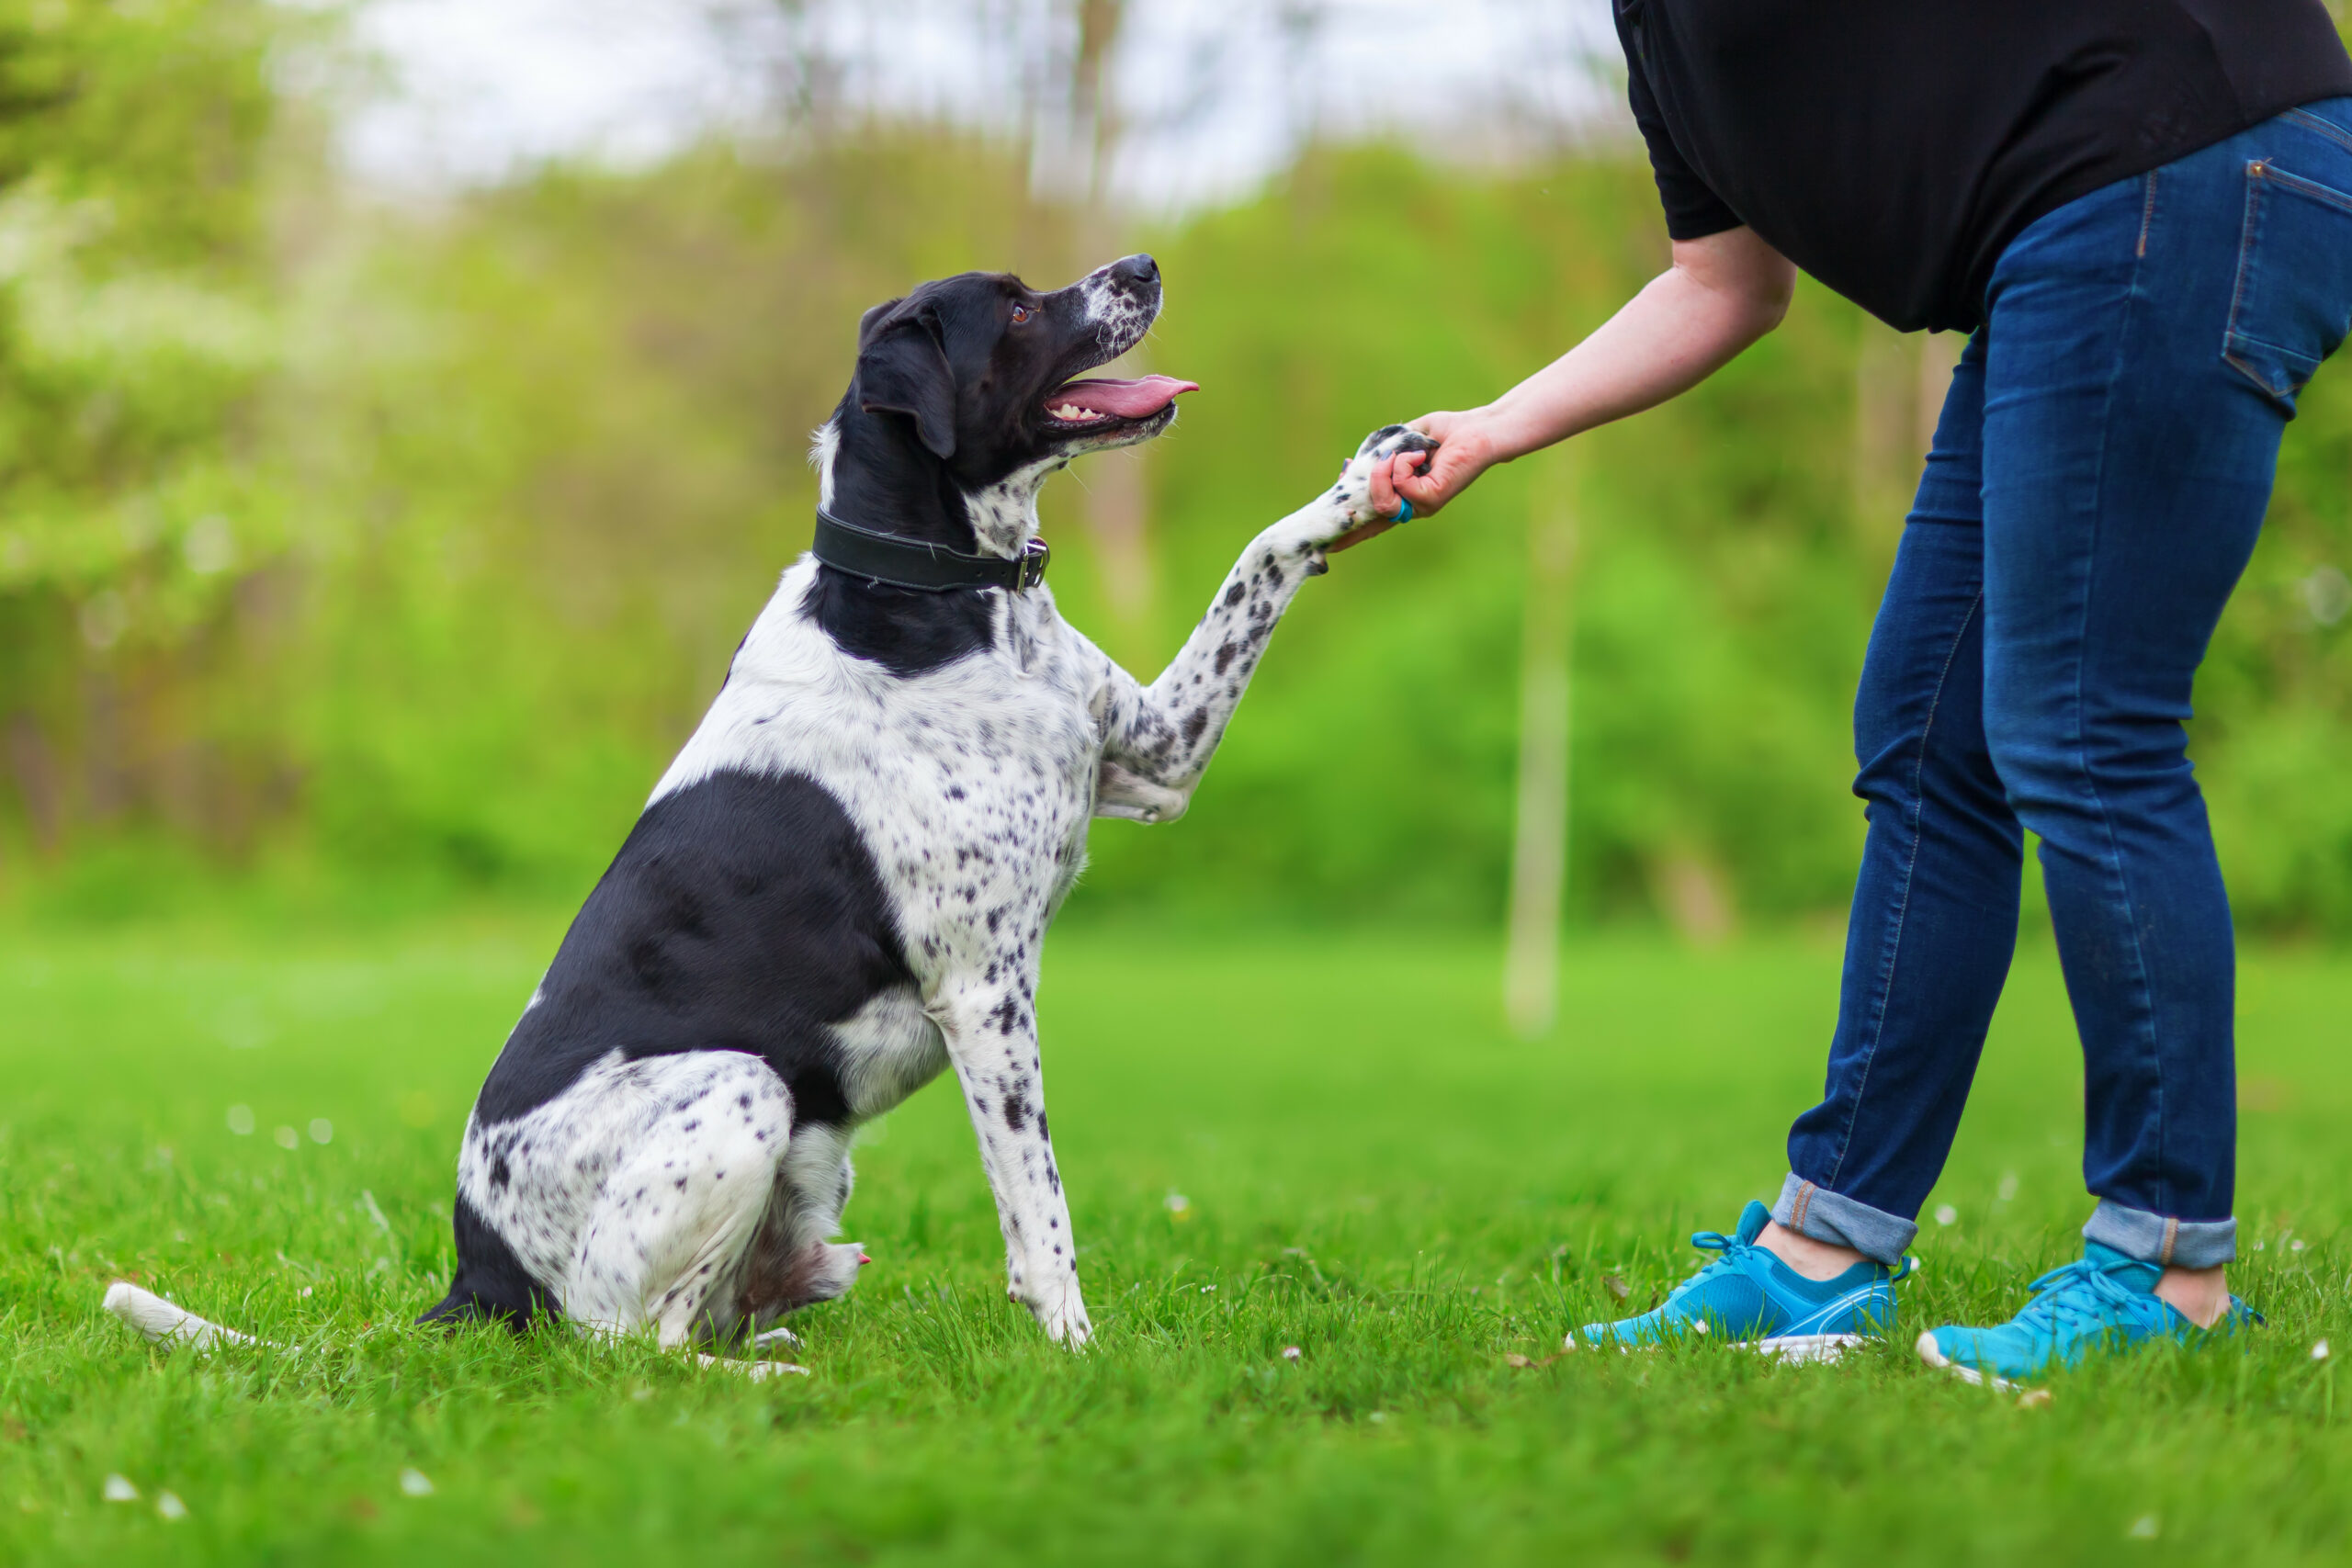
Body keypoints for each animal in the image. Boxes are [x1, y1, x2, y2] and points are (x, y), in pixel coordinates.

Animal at [392, 254, 1420, 1354]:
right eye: (1015, 307)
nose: (1141, 266)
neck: (942, 597)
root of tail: (474, 1276)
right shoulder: (983, 992)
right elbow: (1040, 1206)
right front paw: (1075, 1352)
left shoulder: (1160, 758)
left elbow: (1259, 556)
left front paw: (1363, 481)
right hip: (740, 1089)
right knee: (638, 1344)